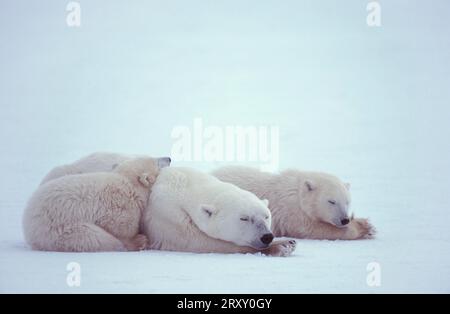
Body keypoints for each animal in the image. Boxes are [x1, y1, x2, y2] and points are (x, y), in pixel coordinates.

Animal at [22, 157, 167, 253]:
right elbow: (121, 226)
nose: (169, 158)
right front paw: (138, 240)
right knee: (95, 237)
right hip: (60, 229)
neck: (127, 182)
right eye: (156, 162)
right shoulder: (120, 204)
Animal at [144, 168, 298, 256]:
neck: (181, 185)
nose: (266, 236)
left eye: (266, 216)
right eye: (244, 218)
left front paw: (287, 242)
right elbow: (199, 242)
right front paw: (283, 246)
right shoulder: (167, 215)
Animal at [213, 167, 374, 240]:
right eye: (331, 201)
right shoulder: (291, 212)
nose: (344, 219)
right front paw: (365, 227)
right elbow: (313, 229)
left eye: (347, 201)